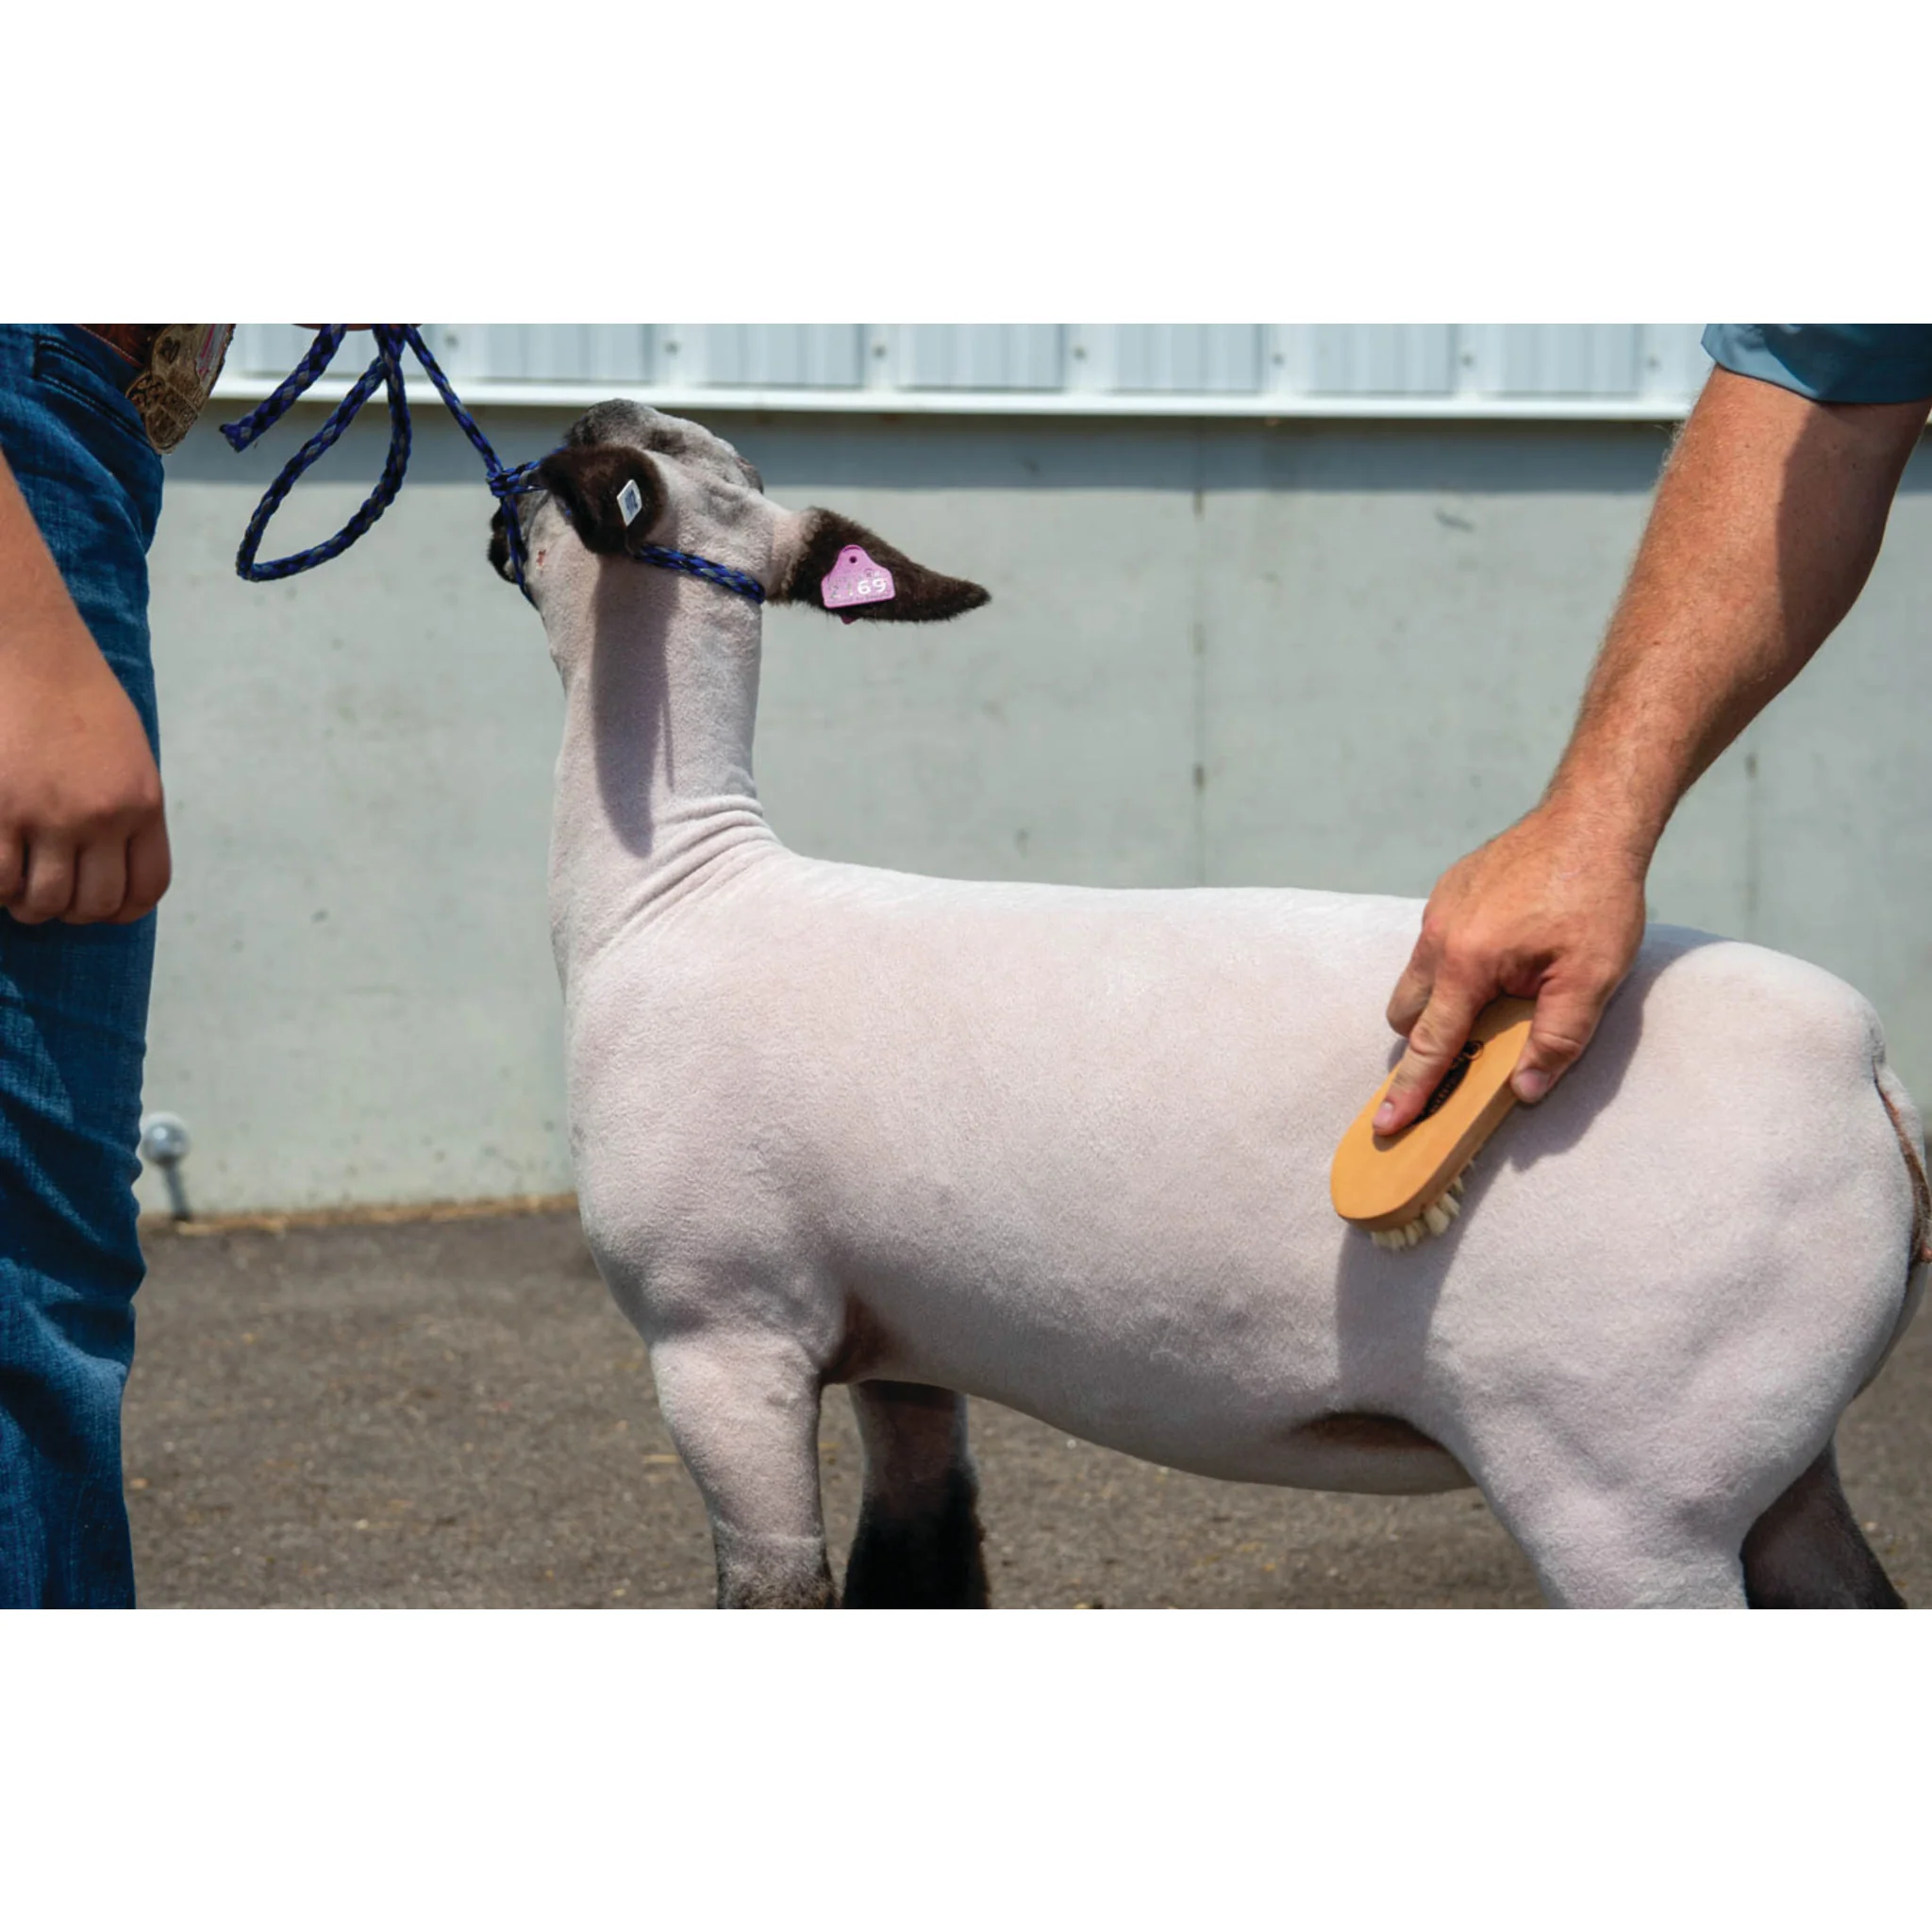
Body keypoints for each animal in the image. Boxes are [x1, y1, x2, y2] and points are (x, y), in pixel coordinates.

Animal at [491, 400, 1926, 1608]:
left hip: (1629, 1472)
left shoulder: (720, 1328)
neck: (677, 886)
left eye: (575, 457)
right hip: (1765, 1456)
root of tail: (1867, 1070)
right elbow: (921, 1565)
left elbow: (777, 1590)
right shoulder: (900, 1338)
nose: (503, 503)